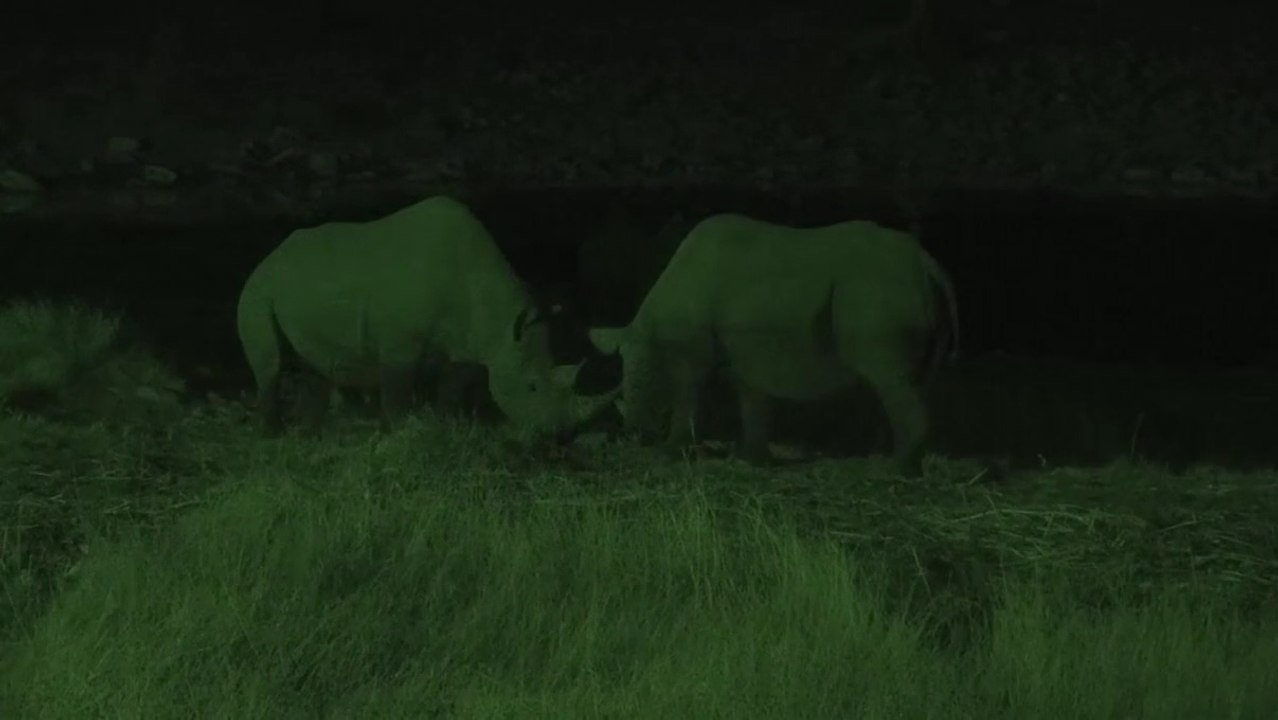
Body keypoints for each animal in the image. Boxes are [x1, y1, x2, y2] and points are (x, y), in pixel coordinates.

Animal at [236, 195, 617, 437]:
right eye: (532, 386)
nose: (561, 433)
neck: (498, 318)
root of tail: (268, 257)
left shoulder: (468, 343)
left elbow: (452, 385)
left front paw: (452, 424)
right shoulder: (399, 342)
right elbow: (397, 387)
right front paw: (405, 430)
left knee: (316, 366)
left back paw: (315, 432)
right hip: (258, 292)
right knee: (270, 365)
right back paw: (272, 434)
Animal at [588, 213, 958, 476]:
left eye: (650, 396)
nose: (636, 434)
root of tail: (928, 264)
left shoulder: (693, 353)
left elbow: (688, 397)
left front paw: (668, 453)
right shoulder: (745, 352)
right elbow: (752, 400)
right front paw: (752, 459)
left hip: (877, 296)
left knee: (889, 379)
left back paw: (894, 471)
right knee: (909, 381)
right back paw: (891, 459)